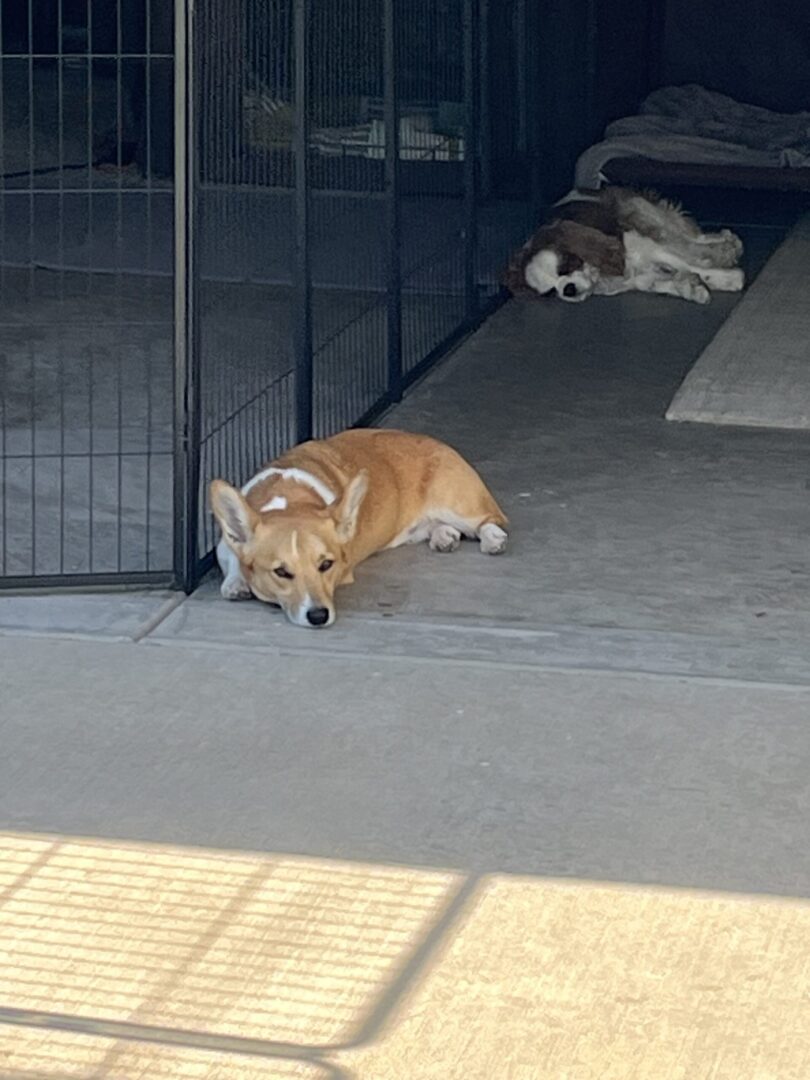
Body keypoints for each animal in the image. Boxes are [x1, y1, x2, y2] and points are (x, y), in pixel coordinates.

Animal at [209, 423, 507, 626]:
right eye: (281, 572)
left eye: (326, 565)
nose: (319, 616)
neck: (288, 499)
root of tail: (437, 442)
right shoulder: (226, 544)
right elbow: (232, 558)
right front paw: (236, 583)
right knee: (439, 527)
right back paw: (443, 536)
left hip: (460, 505)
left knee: (489, 520)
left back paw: (492, 539)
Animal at [507, 184, 747, 304]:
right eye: (550, 292)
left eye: (566, 266)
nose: (568, 289)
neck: (601, 274)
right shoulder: (639, 278)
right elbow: (657, 283)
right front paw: (691, 288)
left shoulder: (646, 247)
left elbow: (688, 263)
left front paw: (730, 278)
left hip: (642, 212)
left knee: (684, 237)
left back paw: (725, 247)